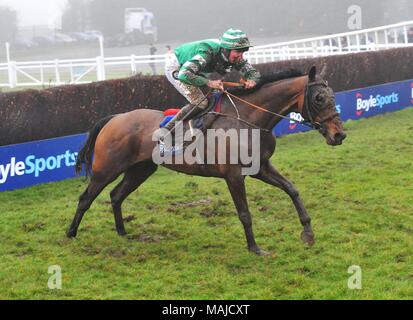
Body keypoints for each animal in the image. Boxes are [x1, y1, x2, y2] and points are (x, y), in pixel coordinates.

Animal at [67, 66, 344, 256]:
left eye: (333, 95)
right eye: (319, 98)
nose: (339, 134)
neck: (249, 120)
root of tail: (114, 118)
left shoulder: (261, 168)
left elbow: (292, 190)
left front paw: (307, 233)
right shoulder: (234, 176)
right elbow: (245, 213)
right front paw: (255, 248)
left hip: (140, 170)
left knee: (116, 195)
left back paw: (122, 231)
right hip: (106, 169)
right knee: (86, 198)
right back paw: (70, 233)